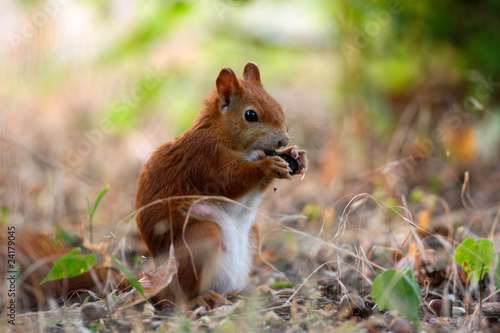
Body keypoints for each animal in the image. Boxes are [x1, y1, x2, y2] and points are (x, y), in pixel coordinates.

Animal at [135, 61, 306, 306]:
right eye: (251, 115)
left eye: (278, 107)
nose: (284, 140)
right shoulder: (204, 158)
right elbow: (229, 181)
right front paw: (268, 164)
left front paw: (296, 156)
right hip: (201, 237)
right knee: (177, 298)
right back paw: (201, 299)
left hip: (252, 236)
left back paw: (253, 291)